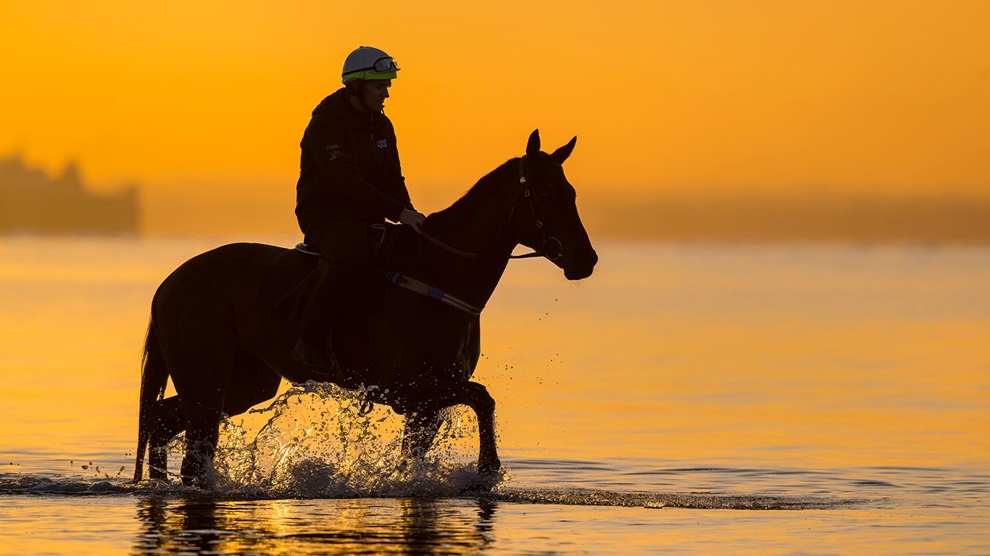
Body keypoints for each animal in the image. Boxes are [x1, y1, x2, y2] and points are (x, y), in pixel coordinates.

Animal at [133, 130, 598, 486]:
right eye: (543, 193)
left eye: (571, 193)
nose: (586, 259)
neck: (438, 273)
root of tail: (170, 283)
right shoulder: (411, 389)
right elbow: (484, 398)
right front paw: (487, 469)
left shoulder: (426, 402)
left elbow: (420, 450)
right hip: (206, 380)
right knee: (188, 449)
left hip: (245, 383)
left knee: (162, 421)